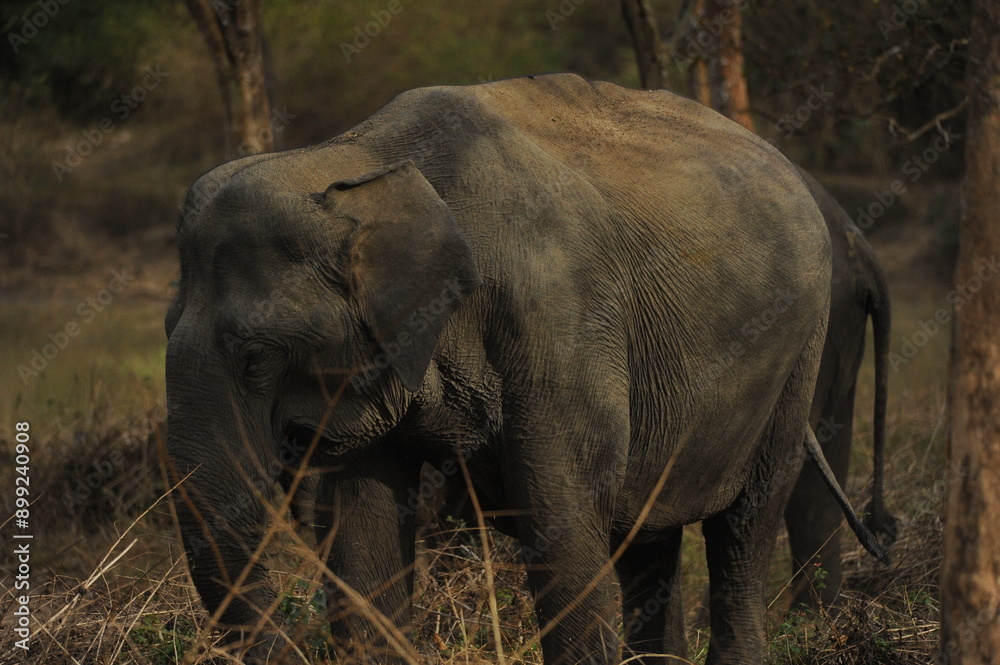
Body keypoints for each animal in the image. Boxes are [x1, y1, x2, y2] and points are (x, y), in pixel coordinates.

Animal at [164, 73, 886, 665]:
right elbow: (362, 542)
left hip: (800, 353)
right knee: (647, 540)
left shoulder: (559, 327)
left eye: (255, 357)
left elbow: (562, 531)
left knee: (744, 527)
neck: (363, 162)